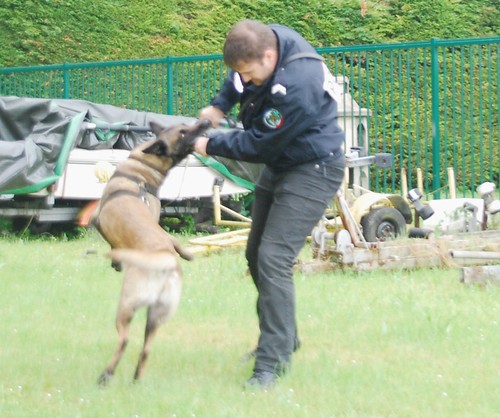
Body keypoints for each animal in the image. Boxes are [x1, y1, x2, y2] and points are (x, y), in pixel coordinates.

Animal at [94, 117, 211, 386]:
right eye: (183, 130)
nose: (205, 121)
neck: (142, 169)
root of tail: (163, 261)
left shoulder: (97, 219)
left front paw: (115, 262)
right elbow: (176, 240)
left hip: (127, 306)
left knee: (124, 340)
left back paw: (106, 375)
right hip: (157, 316)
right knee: (145, 349)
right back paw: (136, 378)